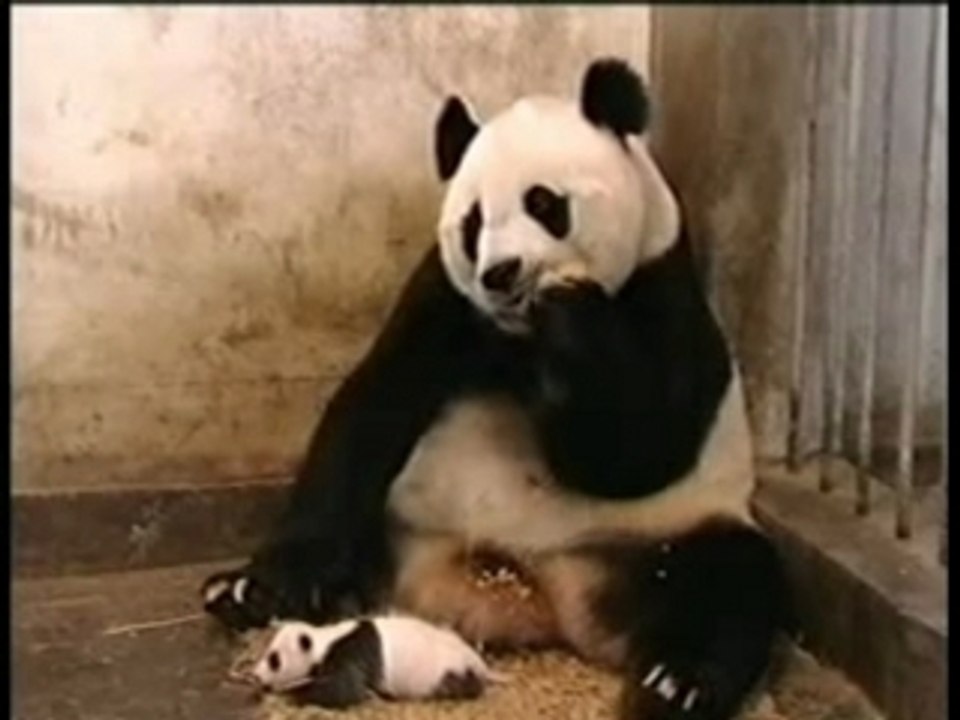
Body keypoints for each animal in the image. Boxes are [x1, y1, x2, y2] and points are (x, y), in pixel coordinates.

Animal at [202, 58, 787, 720]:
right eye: (474, 222)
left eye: (545, 203)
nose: (503, 273)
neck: (519, 336)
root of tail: (534, 597)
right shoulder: (445, 299)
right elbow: (372, 408)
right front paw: (266, 582)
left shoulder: (663, 290)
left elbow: (636, 454)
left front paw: (571, 318)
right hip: (401, 518)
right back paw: (250, 595)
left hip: (659, 535)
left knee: (731, 579)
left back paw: (676, 682)